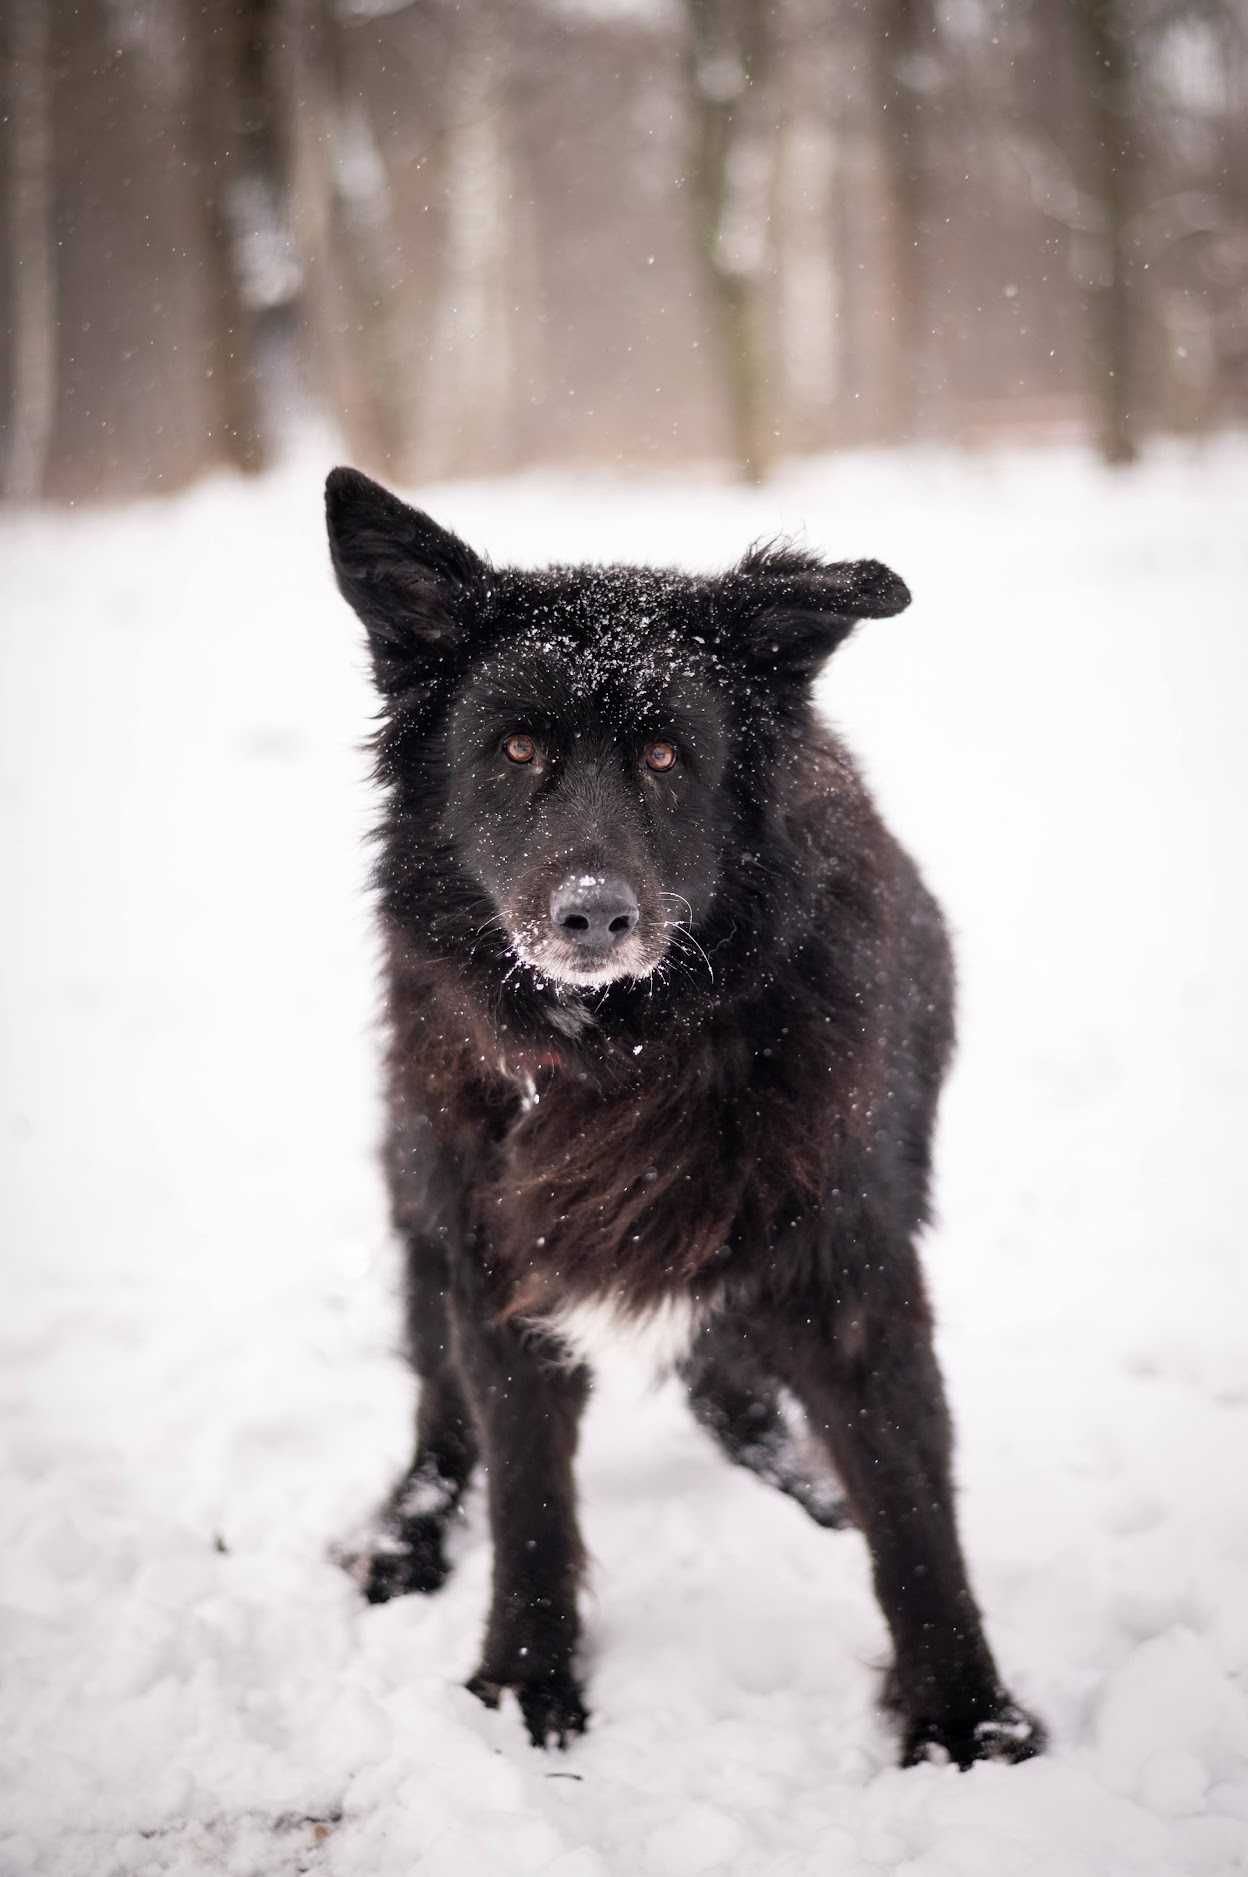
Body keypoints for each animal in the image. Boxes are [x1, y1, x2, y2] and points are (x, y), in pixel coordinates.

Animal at [320, 461, 1043, 1764]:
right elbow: (528, 1498)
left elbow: (913, 1513)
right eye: (515, 746)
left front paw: (970, 1722)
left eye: (666, 756)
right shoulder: (502, 1272)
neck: (627, 1054)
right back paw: (404, 1532)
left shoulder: (849, 1275)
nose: (593, 914)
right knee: (441, 1418)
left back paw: (805, 1474)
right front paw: (524, 1689)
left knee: (731, 1386)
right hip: (426, 1209)